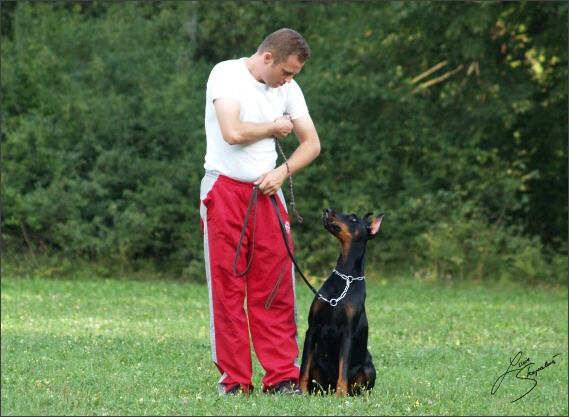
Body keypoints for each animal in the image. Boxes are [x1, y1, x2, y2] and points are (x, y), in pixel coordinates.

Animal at [298, 208, 386, 396]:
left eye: (352, 218)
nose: (327, 209)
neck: (346, 278)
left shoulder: (347, 332)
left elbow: (343, 369)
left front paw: (340, 396)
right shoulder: (312, 328)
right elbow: (303, 367)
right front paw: (299, 391)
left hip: (369, 367)